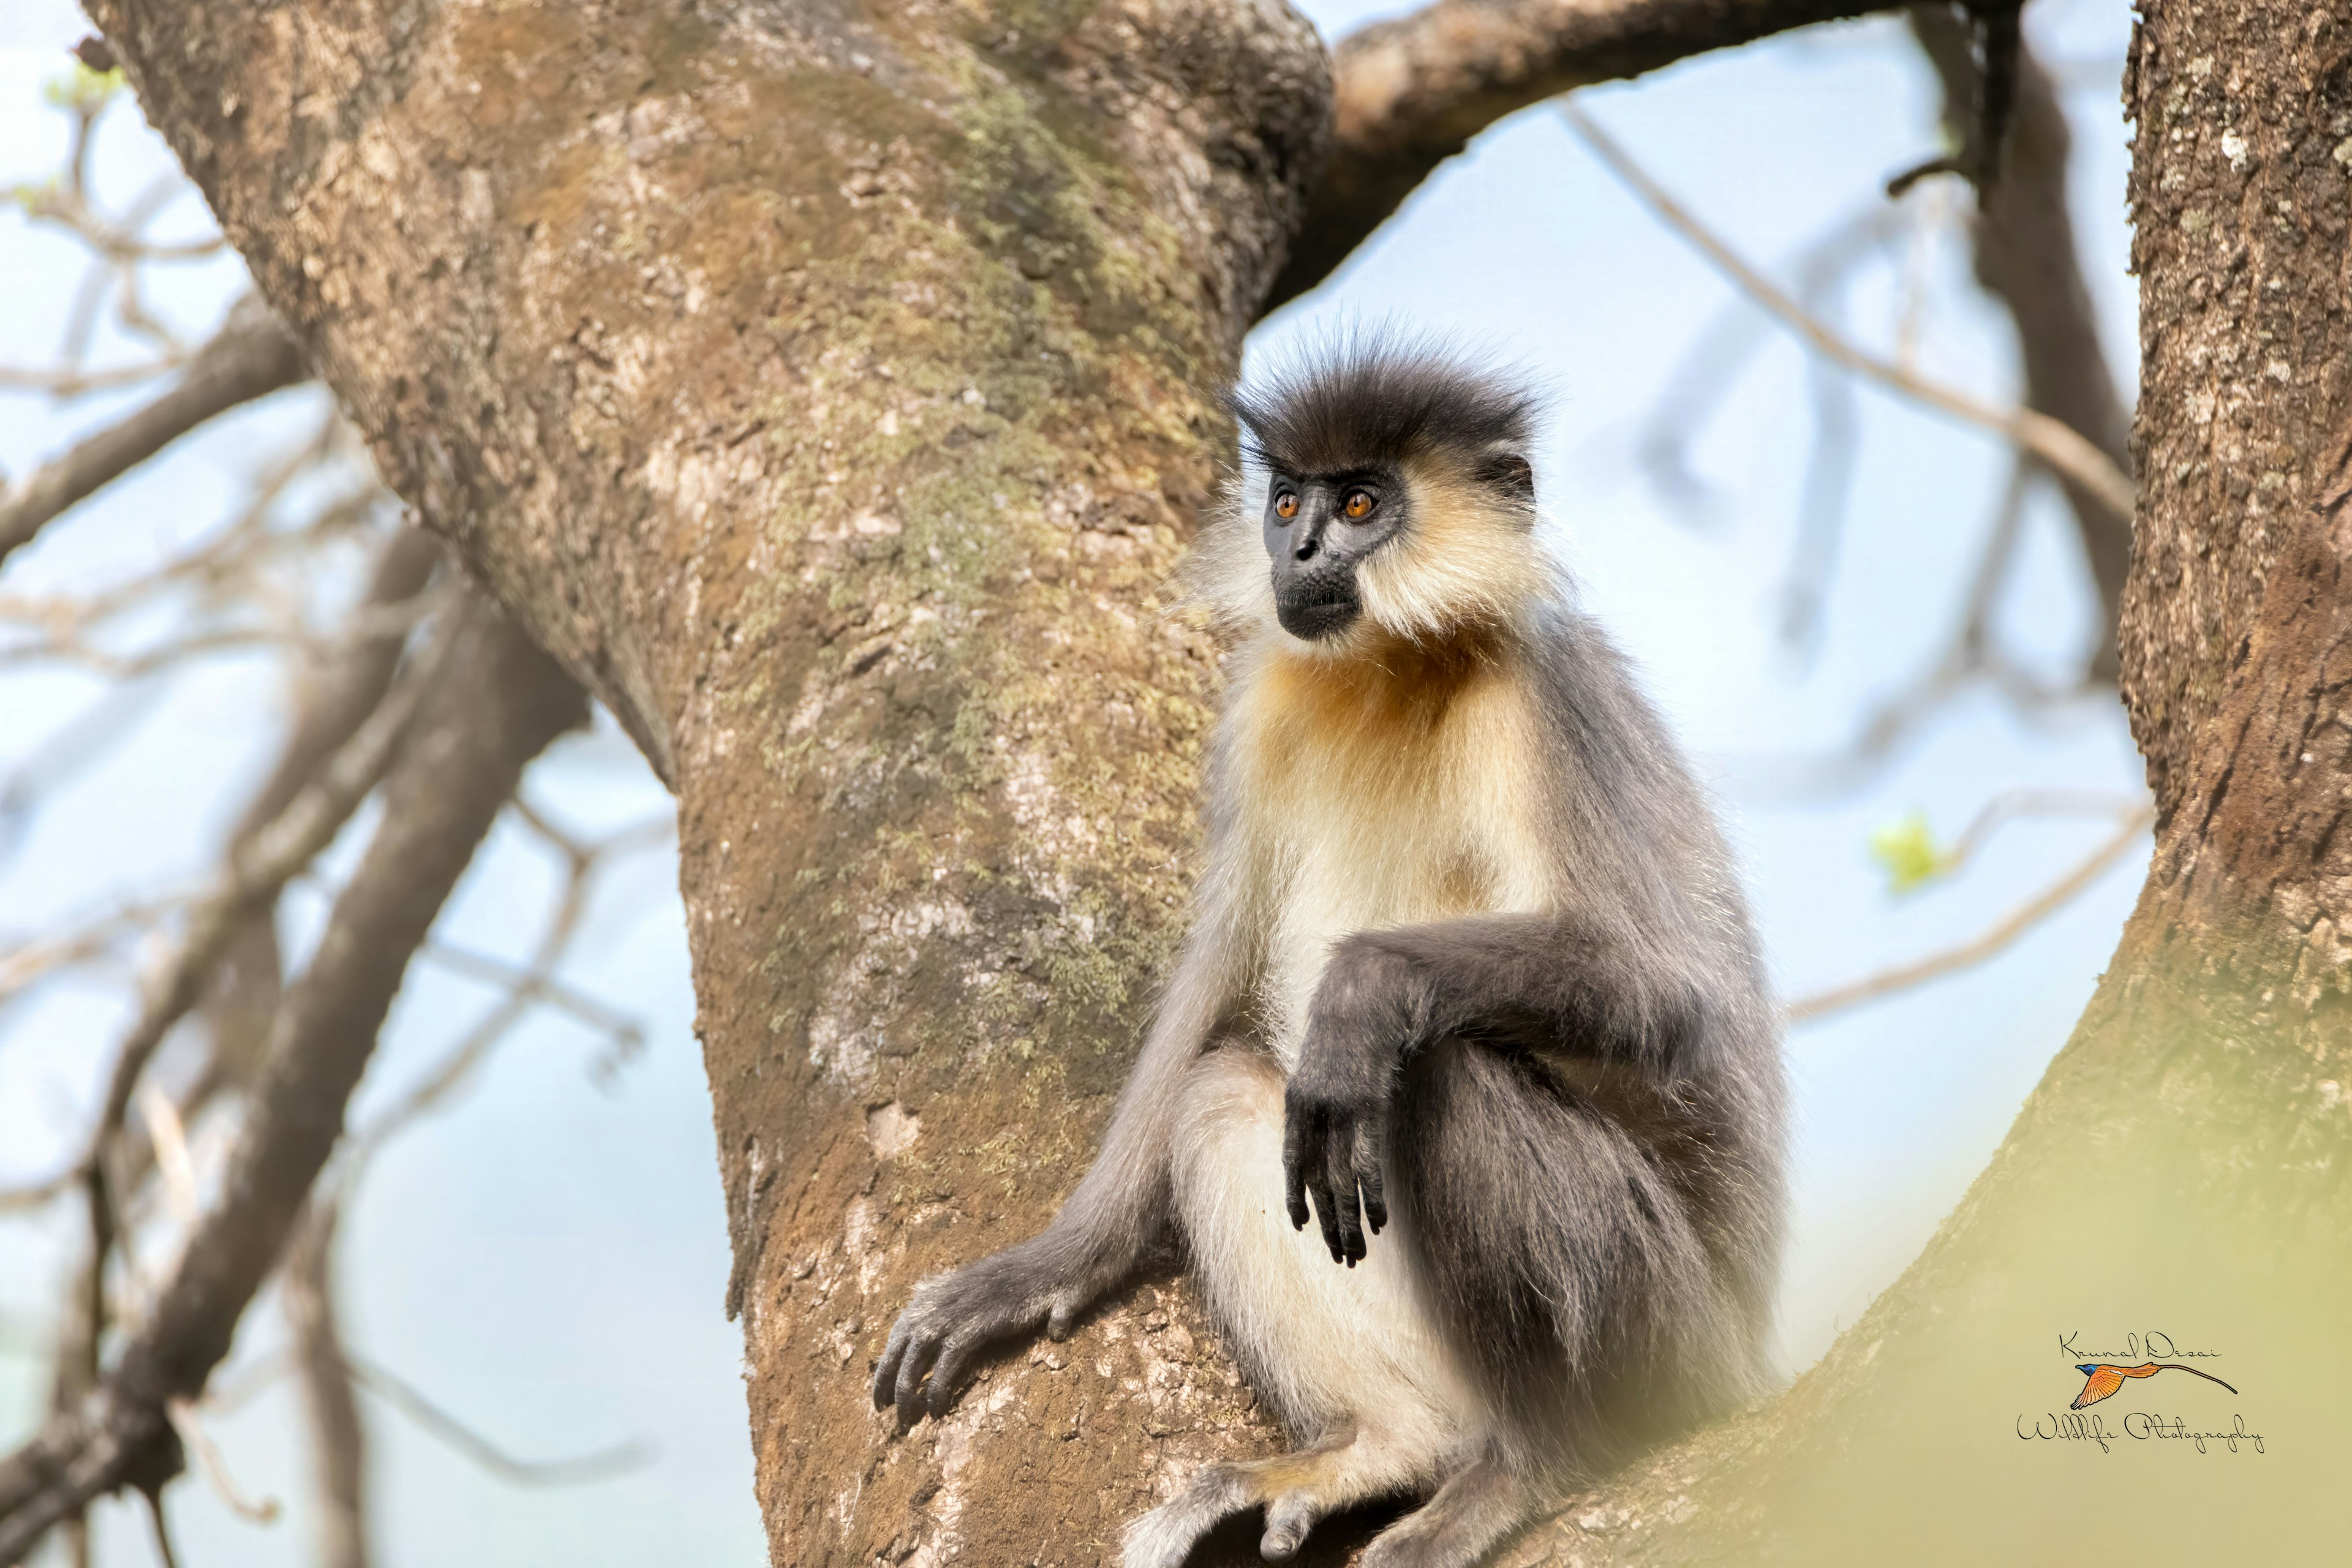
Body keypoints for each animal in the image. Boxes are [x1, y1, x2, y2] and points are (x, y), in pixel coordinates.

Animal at [870, 338, 1778, 1561]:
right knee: (1223, 1098)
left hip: (1672, 1342)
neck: (1393, 669)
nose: (1297, 551)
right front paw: (1048, 1265)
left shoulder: (1545, 696)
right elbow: (1218, 970)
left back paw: (1534, 1468)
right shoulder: (1270, 701)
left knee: (1443, 1069)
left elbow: (1671, 994)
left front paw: (1361, 990)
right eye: (1290, 502)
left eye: (1360, 506)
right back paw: (1380, 1451)